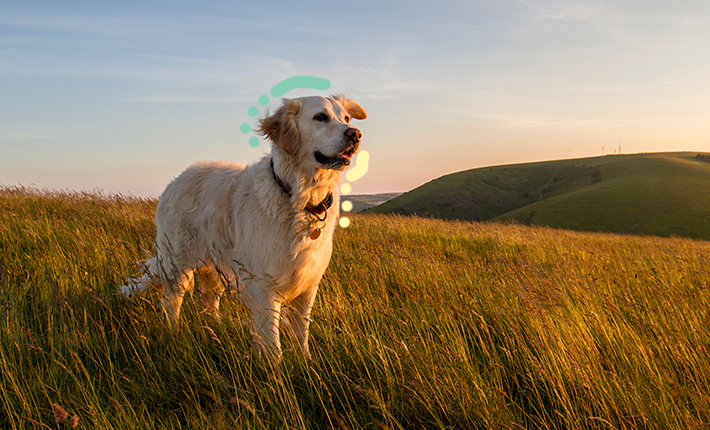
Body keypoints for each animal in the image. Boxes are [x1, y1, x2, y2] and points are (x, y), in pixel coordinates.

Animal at [118, 95, 368, 362]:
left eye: (346, 118)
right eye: (320, 117)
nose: (355, 134)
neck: (300, 198)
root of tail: (175, 180)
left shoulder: (308, 286)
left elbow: (302, 334)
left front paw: (306, 363)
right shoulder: (264, 287)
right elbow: (273, 345)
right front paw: (276, 372)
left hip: (213, 267)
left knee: (208, 302)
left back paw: (214, 332)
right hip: (178, 263)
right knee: (171, 303)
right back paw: (172, 335)